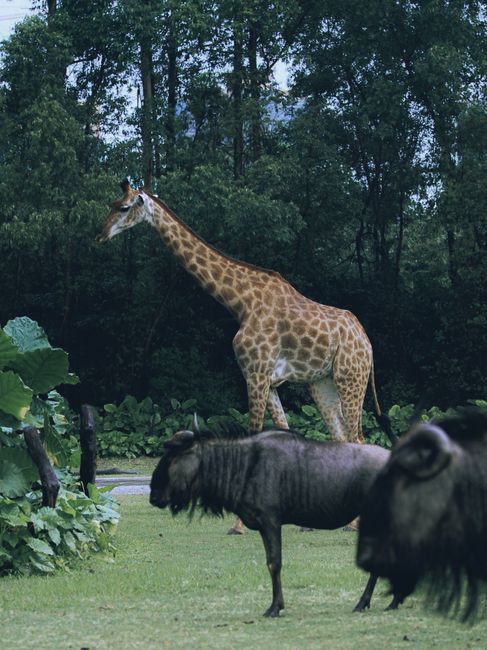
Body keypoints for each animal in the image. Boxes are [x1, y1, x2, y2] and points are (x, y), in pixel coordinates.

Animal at [97, 180, 391, 529]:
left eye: (124, 207)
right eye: (112, 204)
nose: (100, 234)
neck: (239, 303)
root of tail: (367, 343)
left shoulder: (255, 372)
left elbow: (253, 437)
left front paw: (239, 524)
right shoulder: (271, 380)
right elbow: (283, 433)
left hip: (350, 376)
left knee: (357, 437)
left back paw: (354, 523)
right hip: (322, 383)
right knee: (342, 436)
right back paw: (343, 520)